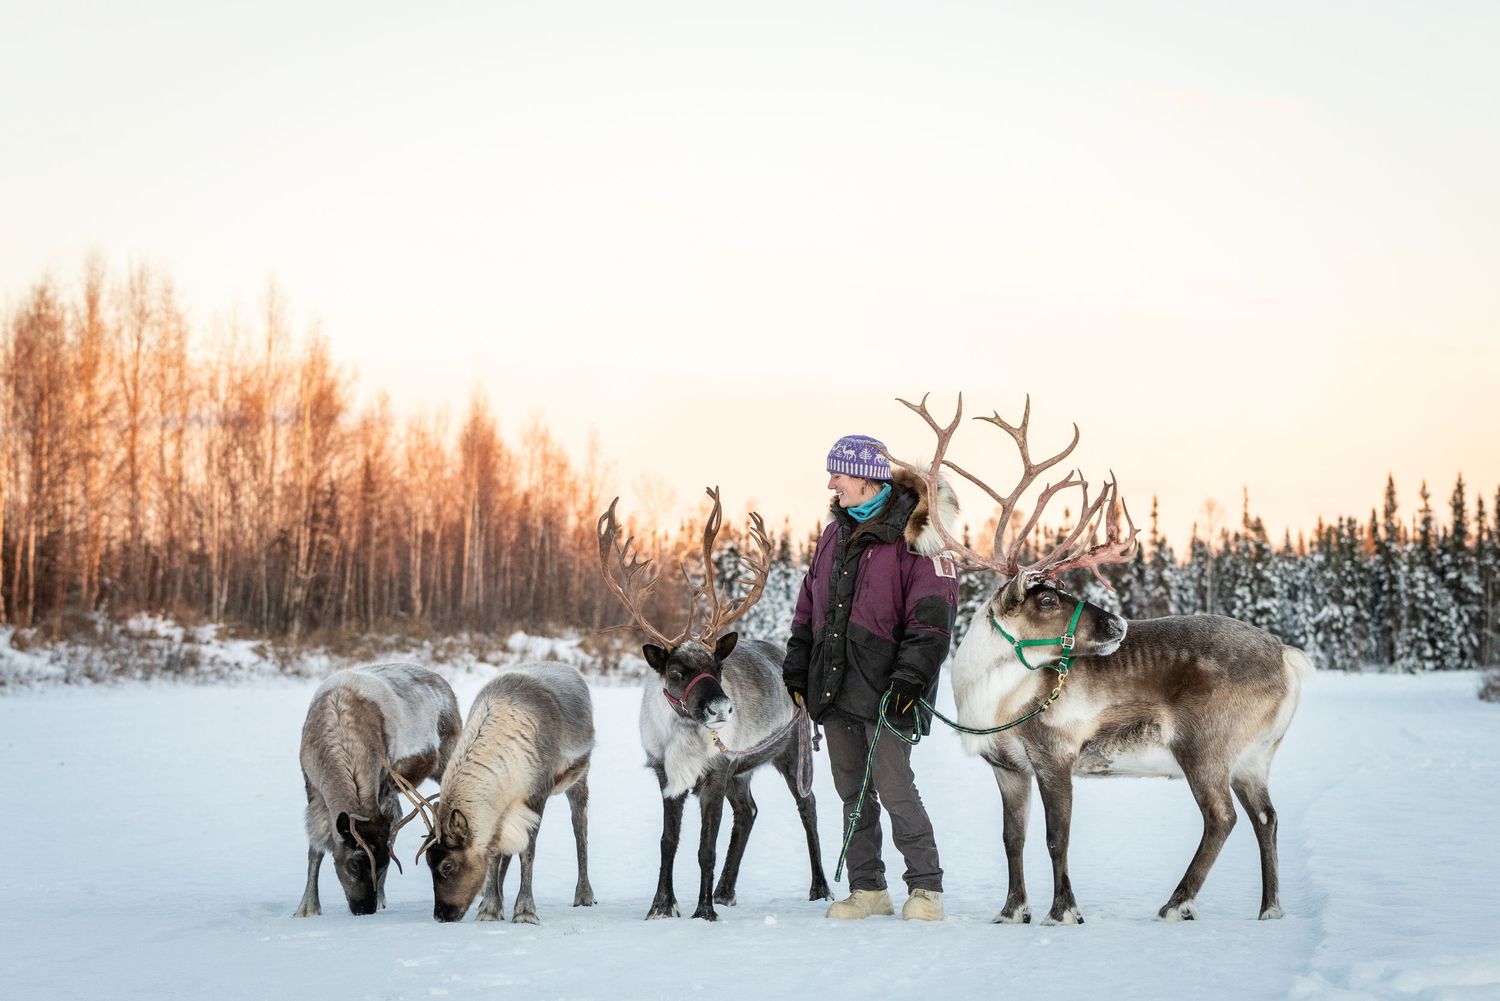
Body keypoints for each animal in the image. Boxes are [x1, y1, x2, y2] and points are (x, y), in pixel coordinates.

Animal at [294, 663, 462, 916]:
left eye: (384, 863)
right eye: (354, 865)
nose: (365, 909)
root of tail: (446, 687)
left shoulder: (383, 783)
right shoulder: (312, 788)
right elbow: (316, 848)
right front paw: (307, 908)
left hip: (446, 760)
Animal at [411, 661, 596, 924]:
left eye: (447, 866)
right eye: (428, 861)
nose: (441, 914)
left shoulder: (535, 795)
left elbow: (527, 852)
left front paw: (525, 911)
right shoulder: (500, 809)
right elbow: (495, 854)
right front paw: (489, 908)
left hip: (579, 777)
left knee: (580, 829)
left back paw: (584, 895)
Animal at [598, 487, 832, 922]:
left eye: (717, 667)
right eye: (677, 671)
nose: (721, 709)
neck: (683, 740)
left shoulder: (716, 775)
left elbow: (705, 848)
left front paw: (703, 910)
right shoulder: (667, 776)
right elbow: (667, 843)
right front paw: (661, 906)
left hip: (793, 754)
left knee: (808, 807)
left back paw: (819, 887)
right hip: (743, 772)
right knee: (749, 812)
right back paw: (726, 890)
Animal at [887, 394, 1312, 926]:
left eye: (1062, 589)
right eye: (1049, 599)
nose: (1118, 624)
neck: (992, 698)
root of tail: (1287, 655)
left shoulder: (1055, 756)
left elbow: (1056, 838)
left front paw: (1063, 911)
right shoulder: (1007, 767)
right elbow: (1012, 839)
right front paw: (1012, 911)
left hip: (1205, 747)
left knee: (1222, 817)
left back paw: (1176, 903)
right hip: (1254, 758)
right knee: (1266, 818)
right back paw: (1269, 908)